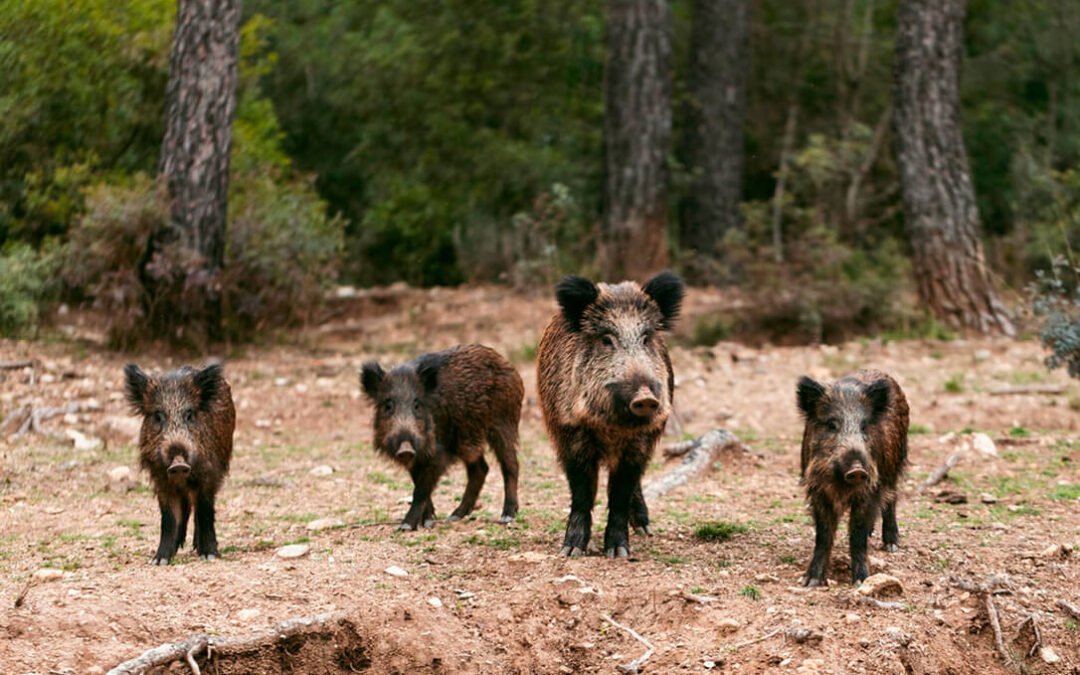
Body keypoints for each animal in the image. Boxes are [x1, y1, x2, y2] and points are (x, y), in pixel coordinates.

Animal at [124, 363, 235, 565]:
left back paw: (196, 547)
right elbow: (168, 518)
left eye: (189, 414)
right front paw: (159, 560)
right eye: (158, 416)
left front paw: (209, 555)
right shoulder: (161, 481)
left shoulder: (209, 476)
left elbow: (205, 511)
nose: (178, 464)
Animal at [360, 344, 523, 531]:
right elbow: (419, 484)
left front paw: (406, 526)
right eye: (388, 405)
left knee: (510, 464)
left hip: (503, 423)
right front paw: (426, 522)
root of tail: (507, 364)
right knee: (481, 469)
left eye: (417, 405)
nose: (405, 448)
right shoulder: (417, 458)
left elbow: (421, 489)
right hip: (468, 440)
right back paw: (454, 516)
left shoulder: (438, 454)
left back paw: (506, 516)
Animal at [536, 271, 684, 558]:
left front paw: (618, 552)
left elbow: (620, 493)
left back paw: (644, 529)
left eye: (646, 337)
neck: (612, 429)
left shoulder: (640, 441)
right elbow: (582, 493)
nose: (645, 397)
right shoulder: (569, 433)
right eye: (606, 339)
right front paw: (571, 550)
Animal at [796, 369, 909, 586]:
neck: (841, 484)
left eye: (864, 426)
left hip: (895, 463)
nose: (857, 470)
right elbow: (823, 535)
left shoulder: (871, 488)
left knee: (891, 499)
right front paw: (809, 581)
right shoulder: (818, 490)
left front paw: (861, 581)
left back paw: (891, 545)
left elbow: (857, 535)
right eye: (832, 424)